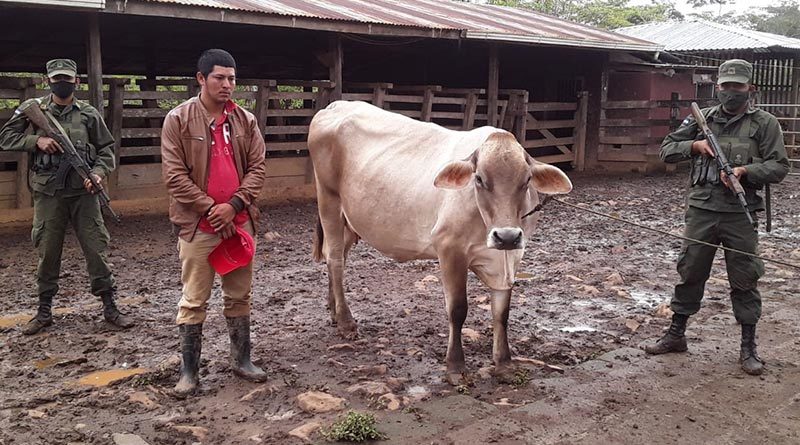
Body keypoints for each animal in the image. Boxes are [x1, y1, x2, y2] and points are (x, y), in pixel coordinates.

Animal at [310, 99, 572, 382]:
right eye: (479, 178)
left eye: (526, 180)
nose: (507, 236)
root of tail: (336, 105)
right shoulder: (449, 249)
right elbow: (457, 309)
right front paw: (455, 365)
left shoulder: (510, 258)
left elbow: (502, 312)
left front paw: (504, 362)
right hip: (328, 200)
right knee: (334, 258)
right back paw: (346, 321)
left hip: (349, 218)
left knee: (339, 258)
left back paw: (334, 310)